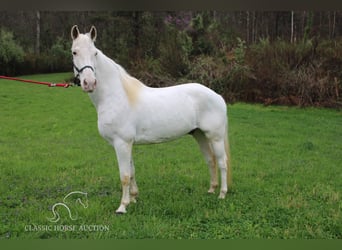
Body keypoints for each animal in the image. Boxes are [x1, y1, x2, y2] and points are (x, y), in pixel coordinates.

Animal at [70, 24, 231, 213]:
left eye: (95, 53)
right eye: (74, 52)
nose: (89, 83)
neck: (117, 96)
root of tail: (217, 96)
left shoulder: (121, 143)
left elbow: (124, 175)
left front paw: (122, 207)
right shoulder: (127, 144)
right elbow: (132, 172)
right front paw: (133, 199)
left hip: (215, 137)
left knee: (222, 162)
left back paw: (222, 194)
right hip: (199, 135)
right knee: (210, 160)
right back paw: (211, 190)